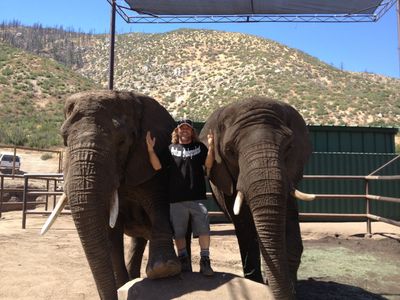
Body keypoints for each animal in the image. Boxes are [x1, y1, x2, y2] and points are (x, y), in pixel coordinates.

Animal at [44, 90, 181, 300]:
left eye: (122, 142)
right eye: (65, 140)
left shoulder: (151, 166)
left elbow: (158, 205)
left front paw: (163, 269)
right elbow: (111, 234)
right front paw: (123, 285)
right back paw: (133, 278)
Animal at [199, 97, 312, 298]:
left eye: (288, 146)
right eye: (229, 150)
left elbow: (289, 219)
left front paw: (291, 287)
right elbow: (244, 222)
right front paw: (258, 283)